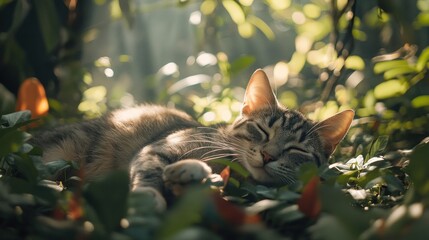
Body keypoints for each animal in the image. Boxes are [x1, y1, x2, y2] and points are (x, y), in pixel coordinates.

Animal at [30, 69, 354, 210]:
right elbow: (149, 169)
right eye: (263, 131)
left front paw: (190, 173)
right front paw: (148, 193)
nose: (268, 155)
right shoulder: (156, 148)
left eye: (297, 149)